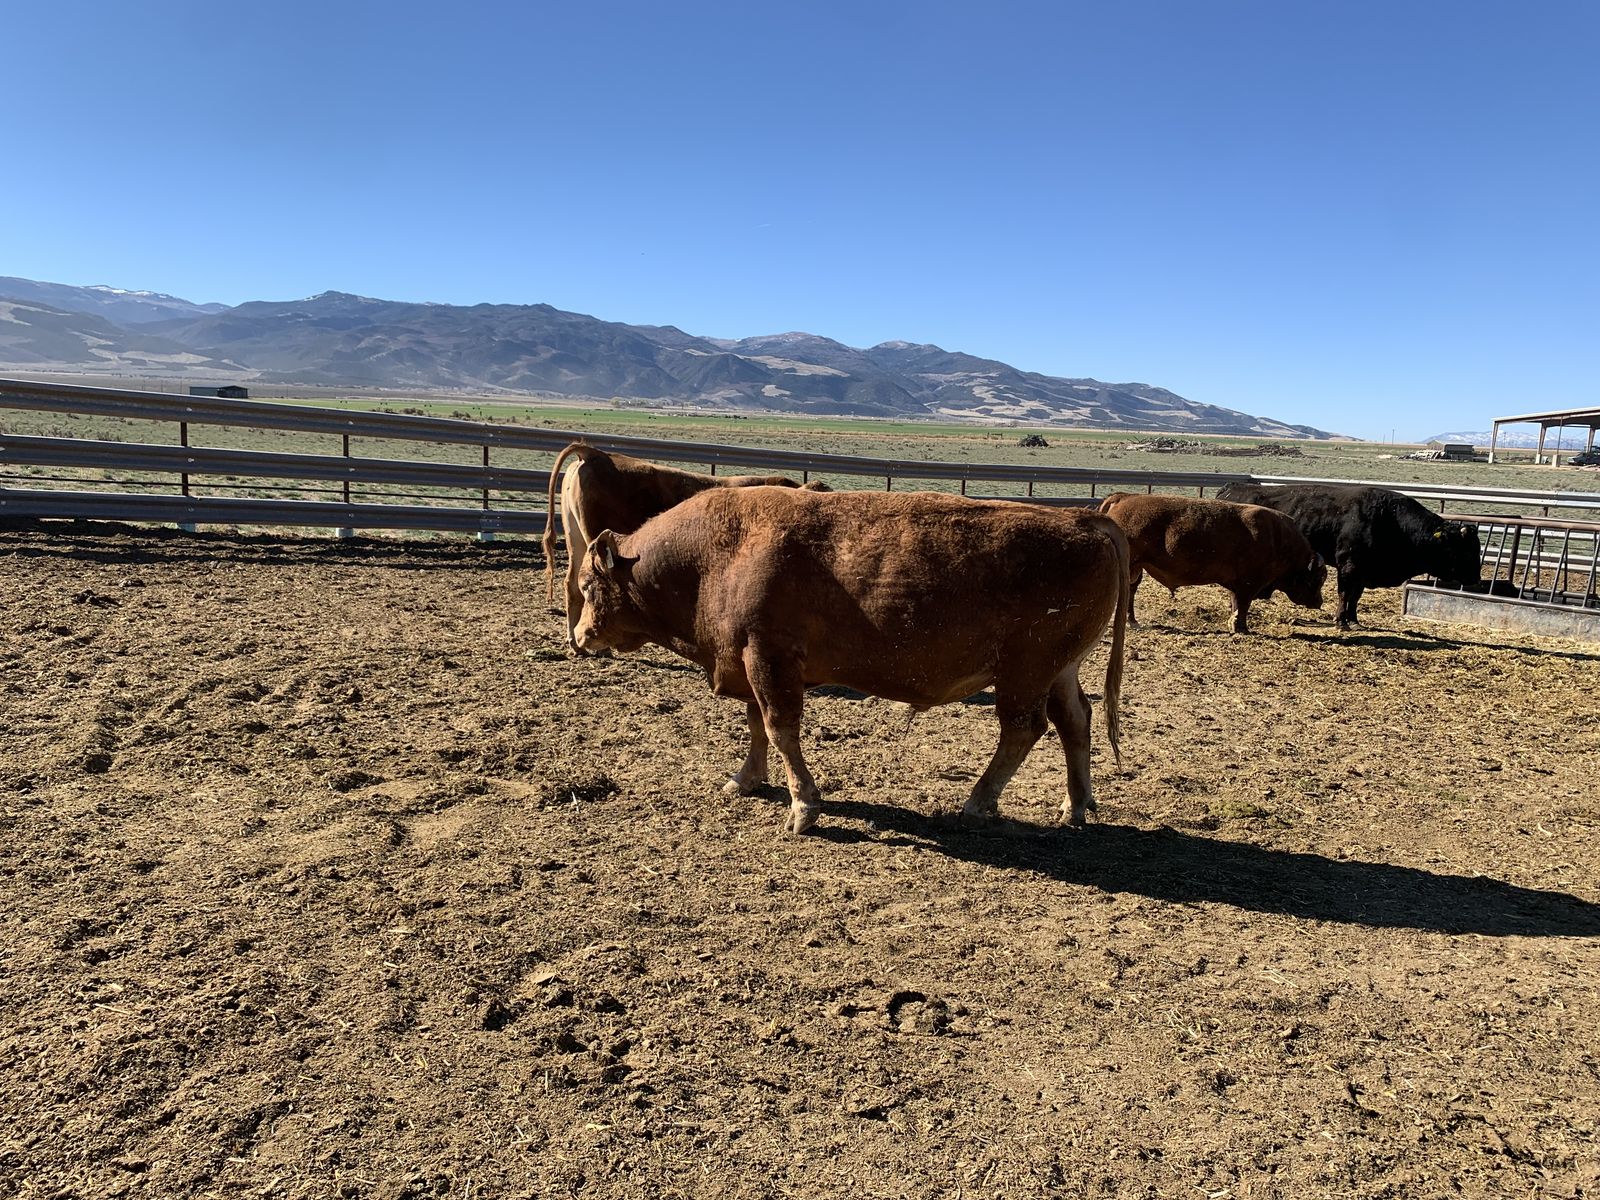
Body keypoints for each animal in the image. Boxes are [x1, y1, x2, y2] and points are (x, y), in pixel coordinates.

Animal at [572, 487, 1131, 835]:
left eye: (588, 584)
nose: (579, 636)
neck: (716, 555)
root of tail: (1083, 520)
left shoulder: (769, 659)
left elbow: (779, 729)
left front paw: (803, 809)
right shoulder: (751, 662)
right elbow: (756, 726)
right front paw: (745, 780)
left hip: (1025, 672)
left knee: (1025, 727)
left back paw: (978, 801)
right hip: (1059, 670)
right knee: (1074, 720)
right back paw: (1075, 805)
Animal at [1096, 492, 1325, 633]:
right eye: (1317, 579)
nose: (1319, 602)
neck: (1277, 538)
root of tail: (1124, 497)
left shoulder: (1238, 586)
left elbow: (1236, 604)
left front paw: (1234, 624)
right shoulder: (1248, 585)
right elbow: (1243, 605)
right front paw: (1241, 627)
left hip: (1136, 568)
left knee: (1131, 591)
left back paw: (1132, 621)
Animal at [1215, 483, 1482, 629]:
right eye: (1465, 549)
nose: (1477, 579)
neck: (1389, 520)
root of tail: (1232, 487)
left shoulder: (1363, 572)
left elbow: (1355, 597)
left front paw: (1353, 620)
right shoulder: (1349, 566)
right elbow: (1344, 594)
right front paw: (1341, 621)